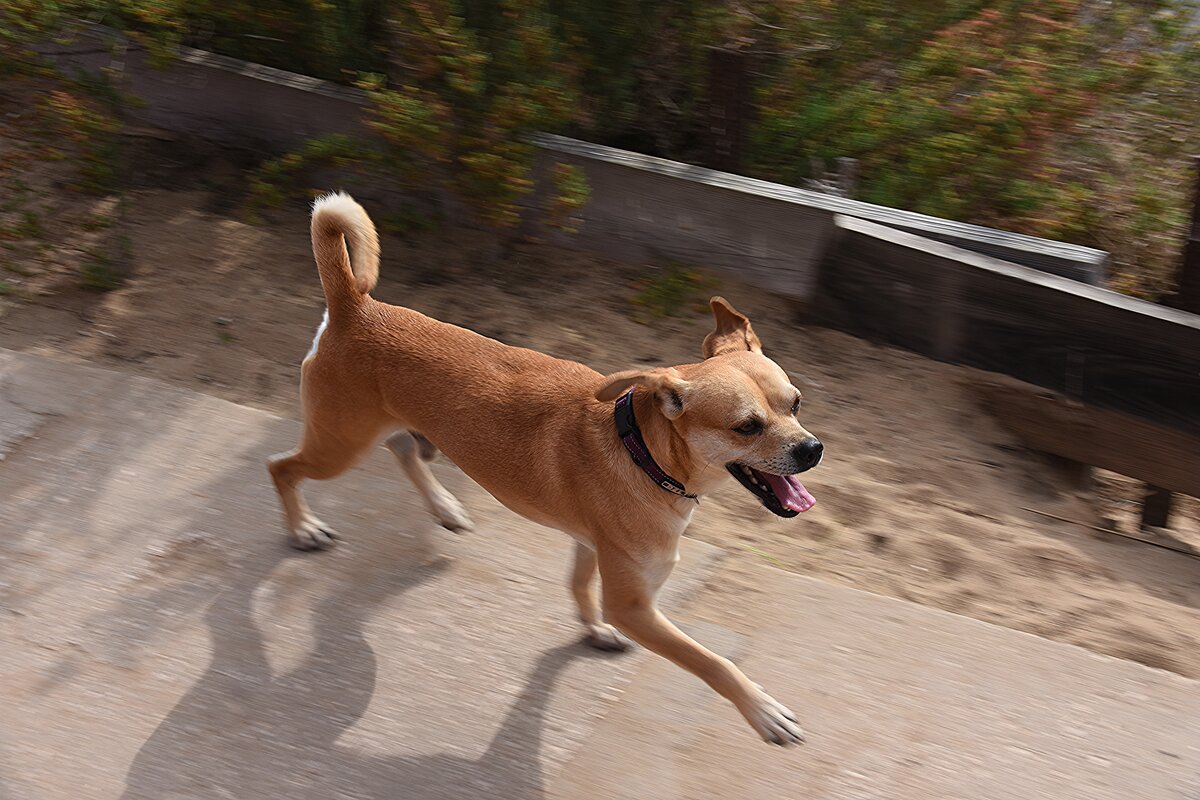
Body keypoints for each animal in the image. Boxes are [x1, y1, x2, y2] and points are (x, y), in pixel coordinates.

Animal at [267, 191, 820, 743]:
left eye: (795, 404)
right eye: (746, 427)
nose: (812, 450)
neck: (639, 448)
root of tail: (354, 307)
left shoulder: (589, 544)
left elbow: (578, 585)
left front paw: (594, 628)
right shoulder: (635, 605)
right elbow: (713, 662)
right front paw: (762, 709)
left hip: (376, 434)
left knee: (402, 448)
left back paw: (444, 506)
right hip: (339, 447)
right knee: (281, 468)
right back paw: (304, 529)